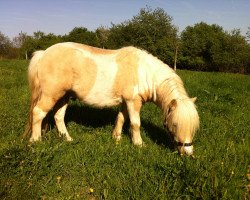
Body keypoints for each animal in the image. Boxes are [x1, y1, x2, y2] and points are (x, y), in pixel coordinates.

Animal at [23, 41, 199, 155]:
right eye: (175, 124)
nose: (188, 152)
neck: (144, 73)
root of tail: (43, 54)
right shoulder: (133, 102)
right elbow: (135, 124)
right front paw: (139, 144)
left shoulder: (125, 102)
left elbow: (121, 118)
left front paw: (117, 138)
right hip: (51, 95)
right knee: (38, 113)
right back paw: (35, 141)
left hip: (64, 96)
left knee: (58, 116)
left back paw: (68, 139)